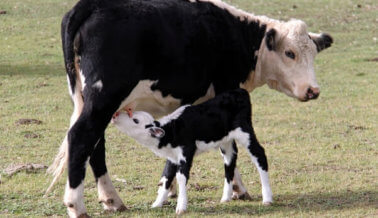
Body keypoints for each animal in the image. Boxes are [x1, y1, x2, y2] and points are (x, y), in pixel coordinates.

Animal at [112, 89, 272, 215]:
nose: (115, 115)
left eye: (136, 120)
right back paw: (225, 198)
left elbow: (181, 178)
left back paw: (267, 198)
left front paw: (181, 207)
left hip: (245, 131)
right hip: (225, 141)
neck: (171, 130)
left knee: (260, 154)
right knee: (230, 161)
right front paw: (157, 204)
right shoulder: (172, 157)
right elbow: (166, 178)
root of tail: (239, 91)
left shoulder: (186, 152)